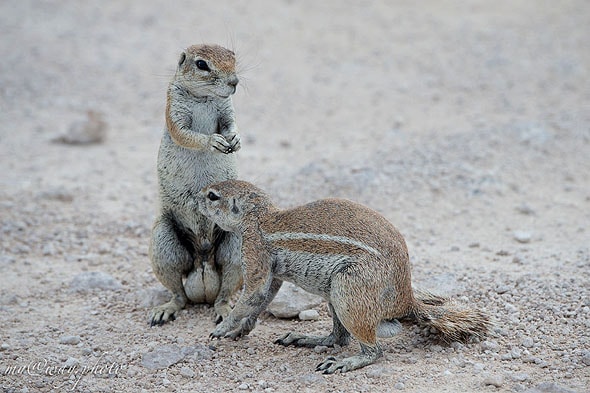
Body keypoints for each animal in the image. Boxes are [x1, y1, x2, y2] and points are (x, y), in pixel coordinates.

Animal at [153, 43, 245, 324]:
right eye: (202, 64)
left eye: (233, 56)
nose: (235, 82)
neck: (205, 97)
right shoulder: (174, 108)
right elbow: (185, 133)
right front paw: (213, 141)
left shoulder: (227, 109)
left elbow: (230, 123)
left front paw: (235, 139)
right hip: (163, 245)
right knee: (178, 292)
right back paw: (165, 310)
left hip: (236, 246)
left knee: (225, 291)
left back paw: (225, 310)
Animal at [197, 179, 492, 372]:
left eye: (212, 196)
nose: (194, 197)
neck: (258, 217)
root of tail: (406, 301)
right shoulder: (272, 273)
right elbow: (261, 299)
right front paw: (241, 329)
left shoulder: (255, 249)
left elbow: (251, 296)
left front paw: (222, 328)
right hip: (335, 296)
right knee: (339, 338)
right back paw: (306, 339)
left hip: (348, 292)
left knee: (373, 350)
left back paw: (345, 362)